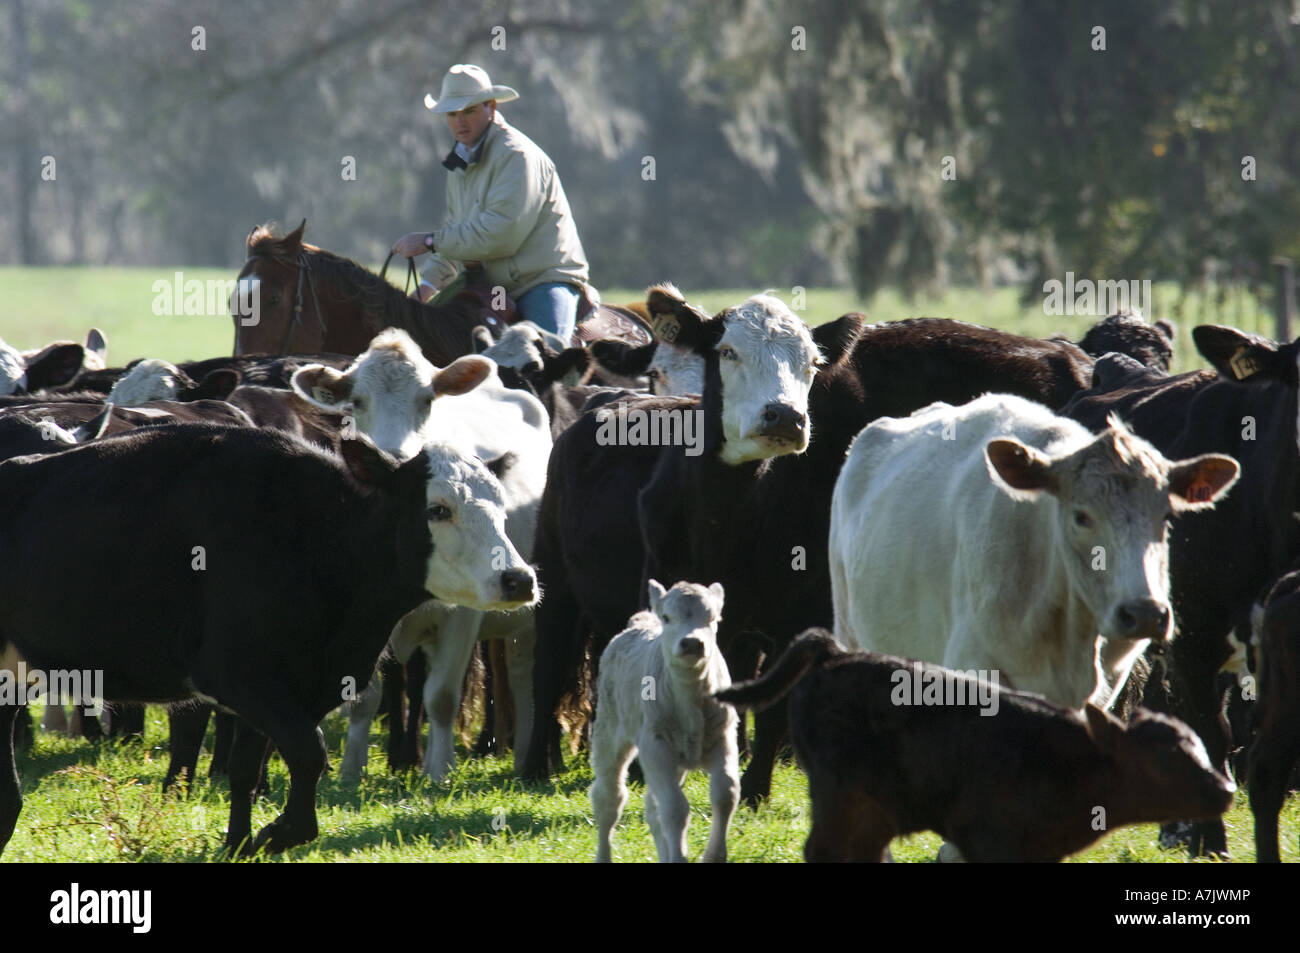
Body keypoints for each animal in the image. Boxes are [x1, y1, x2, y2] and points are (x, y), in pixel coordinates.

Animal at [592, 579, 738, 863]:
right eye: (669, 618)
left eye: (712, 619)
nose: (692, 643)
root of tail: (640, 622)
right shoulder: (656, 744)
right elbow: (674, 808)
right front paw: (680, 856)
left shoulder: (723, 737)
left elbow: (725, 793)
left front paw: (713, 855)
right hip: (608, 731)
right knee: (609, 798)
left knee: (651, 807)